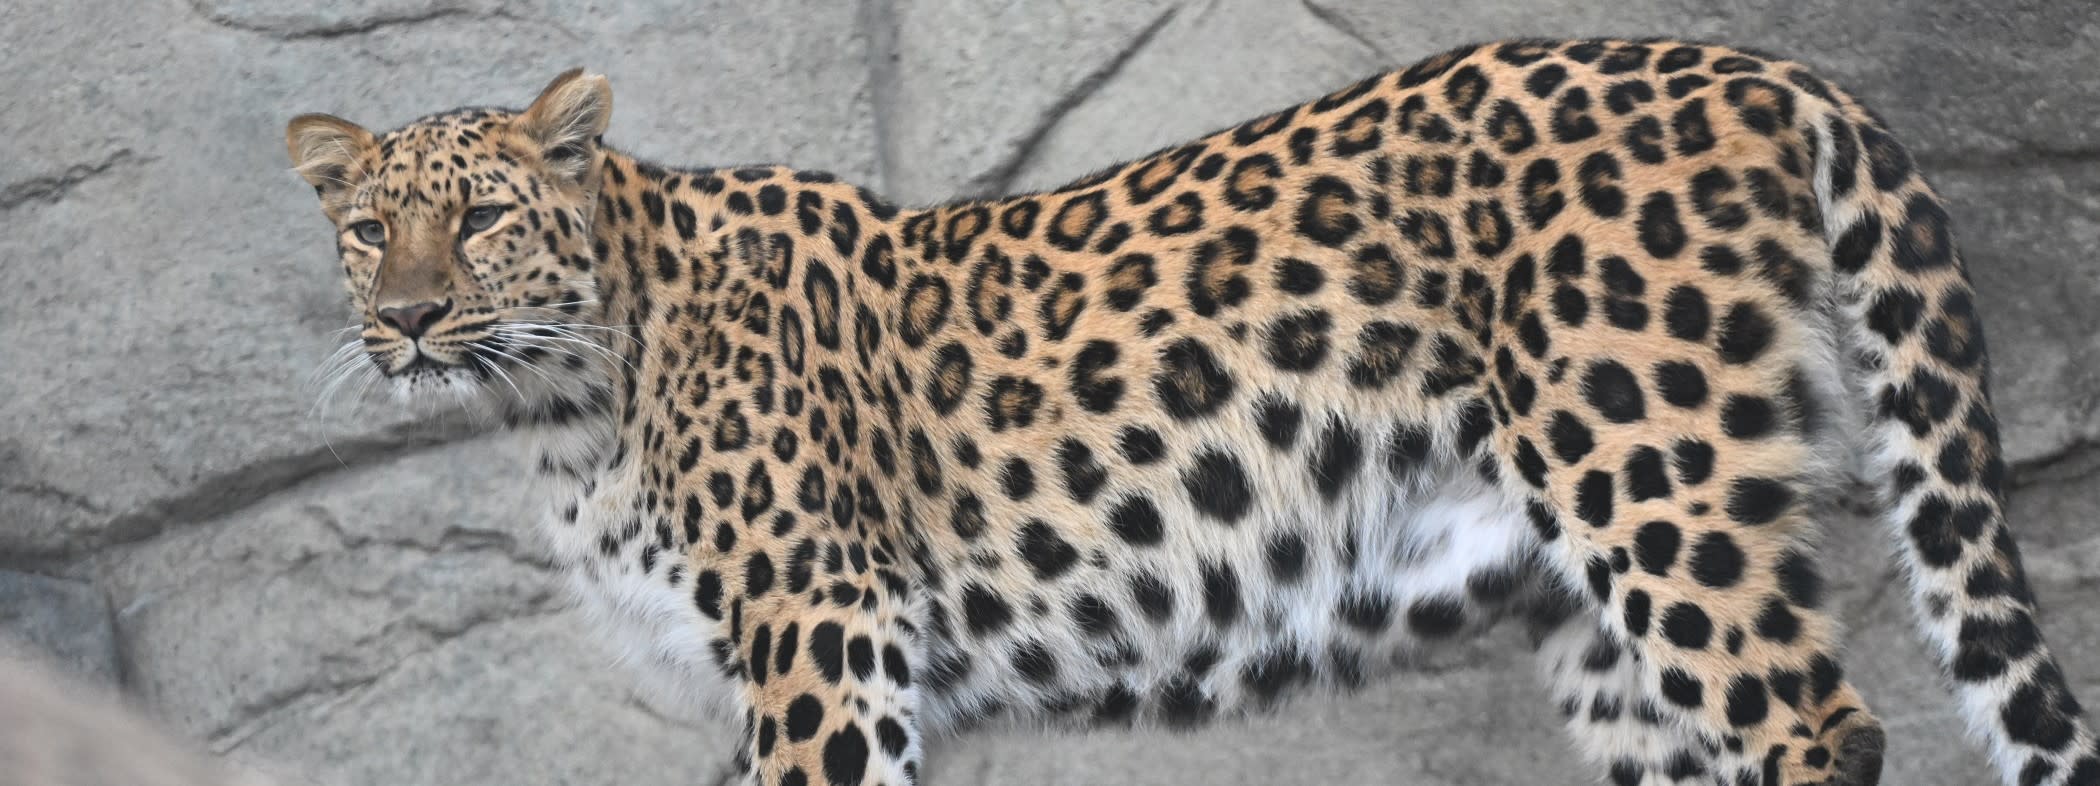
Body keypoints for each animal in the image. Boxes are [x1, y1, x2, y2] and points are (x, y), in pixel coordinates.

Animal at [284, 37, 2096, 786]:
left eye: (484, 218)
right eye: (369, 228)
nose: (410, 317)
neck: (566, 398)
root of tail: (1764, 67)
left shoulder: (821, 633)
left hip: (1655, 473)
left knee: (1823, 727)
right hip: (1601, 601)